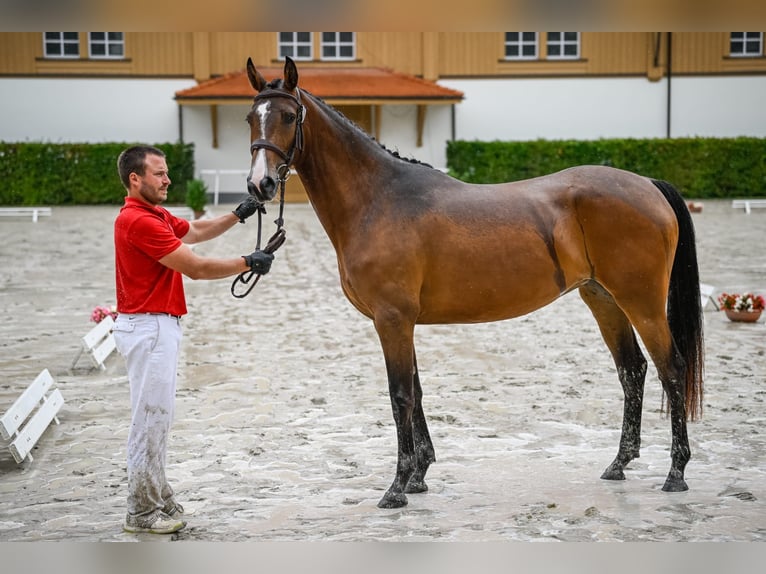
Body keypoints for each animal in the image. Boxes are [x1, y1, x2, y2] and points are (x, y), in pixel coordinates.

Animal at [243, 56, 704, 510]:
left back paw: (676, 473)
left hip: (642, 303)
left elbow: (400, 396)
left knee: (672, 369)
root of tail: (648, 185)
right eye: (250, 117)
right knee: (633, 370)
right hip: (604, 299)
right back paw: (619, 463)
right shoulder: (402, 322)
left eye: (288, 116)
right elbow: (417, 392)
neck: (379, 199)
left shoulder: (392, 320)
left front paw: (397, 487)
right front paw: (419, 476)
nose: (259, 184)